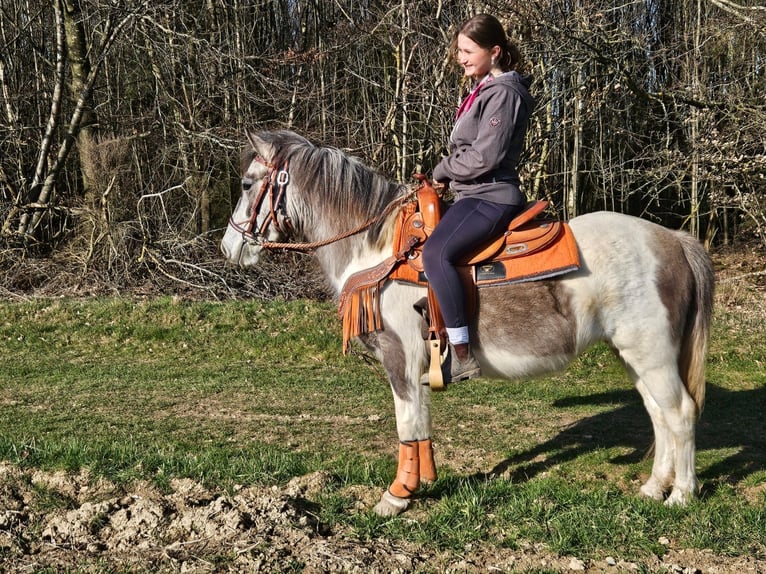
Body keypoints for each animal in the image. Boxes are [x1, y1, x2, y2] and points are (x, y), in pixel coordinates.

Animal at [220, 129, 715, 517]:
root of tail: (674, 239)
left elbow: (407, 424)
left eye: (246, 183)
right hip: (634, 355)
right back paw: (653, 488)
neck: (378, 250)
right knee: (658, 414)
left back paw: (681, 495)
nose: (229, 247)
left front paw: (397, 496)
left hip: (651, 353)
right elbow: (420, 425)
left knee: (680, 412)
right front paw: (421, 482)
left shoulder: (401, 357)